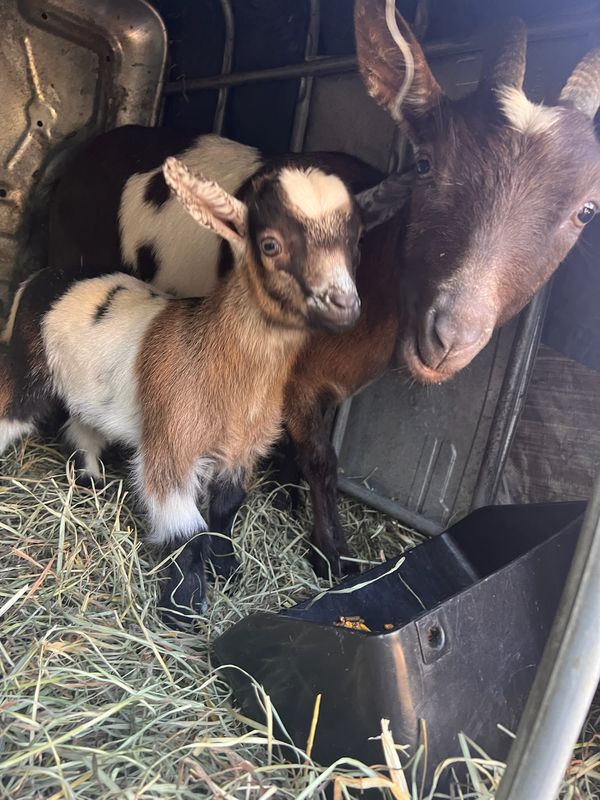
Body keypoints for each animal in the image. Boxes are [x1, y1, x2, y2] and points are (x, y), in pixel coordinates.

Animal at [0, 157, 362, 618]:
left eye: (355, 242)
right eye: (270, 244)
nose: (345, 306)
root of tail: (39, 278)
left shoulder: (241, 449)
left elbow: (226, 509)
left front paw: (228, 569)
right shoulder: (171, 446)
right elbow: (187, 530)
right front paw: (184, 608)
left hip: (90, 391)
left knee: (82, 426)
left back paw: (92, 477)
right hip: (27, 369)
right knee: (9, 410)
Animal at [45, 0, 600, 577]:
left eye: (587, 210)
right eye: (425, 163)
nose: (450, 337)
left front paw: (288, 493)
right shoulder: (295, 380)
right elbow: (320, 458)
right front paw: (332, 553)